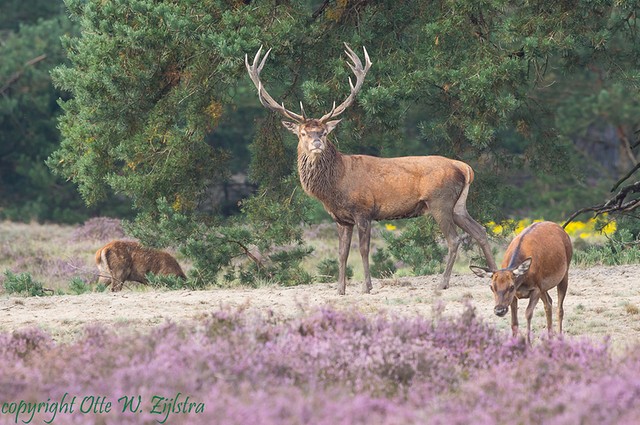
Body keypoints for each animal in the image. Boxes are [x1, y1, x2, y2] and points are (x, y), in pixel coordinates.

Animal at [244, 44, 496, 294]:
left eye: (324, 132)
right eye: (303, 133)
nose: (317, 142)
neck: (335, 185)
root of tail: (464, 167)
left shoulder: (363, 210)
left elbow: (363, 250)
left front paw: (367, 286)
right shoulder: (341, 219)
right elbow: (342, 253)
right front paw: (340, 289)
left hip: (439, 201)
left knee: (454, 239)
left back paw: (443, 283)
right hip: (458, 204)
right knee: (480, 231)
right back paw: (494, 272)